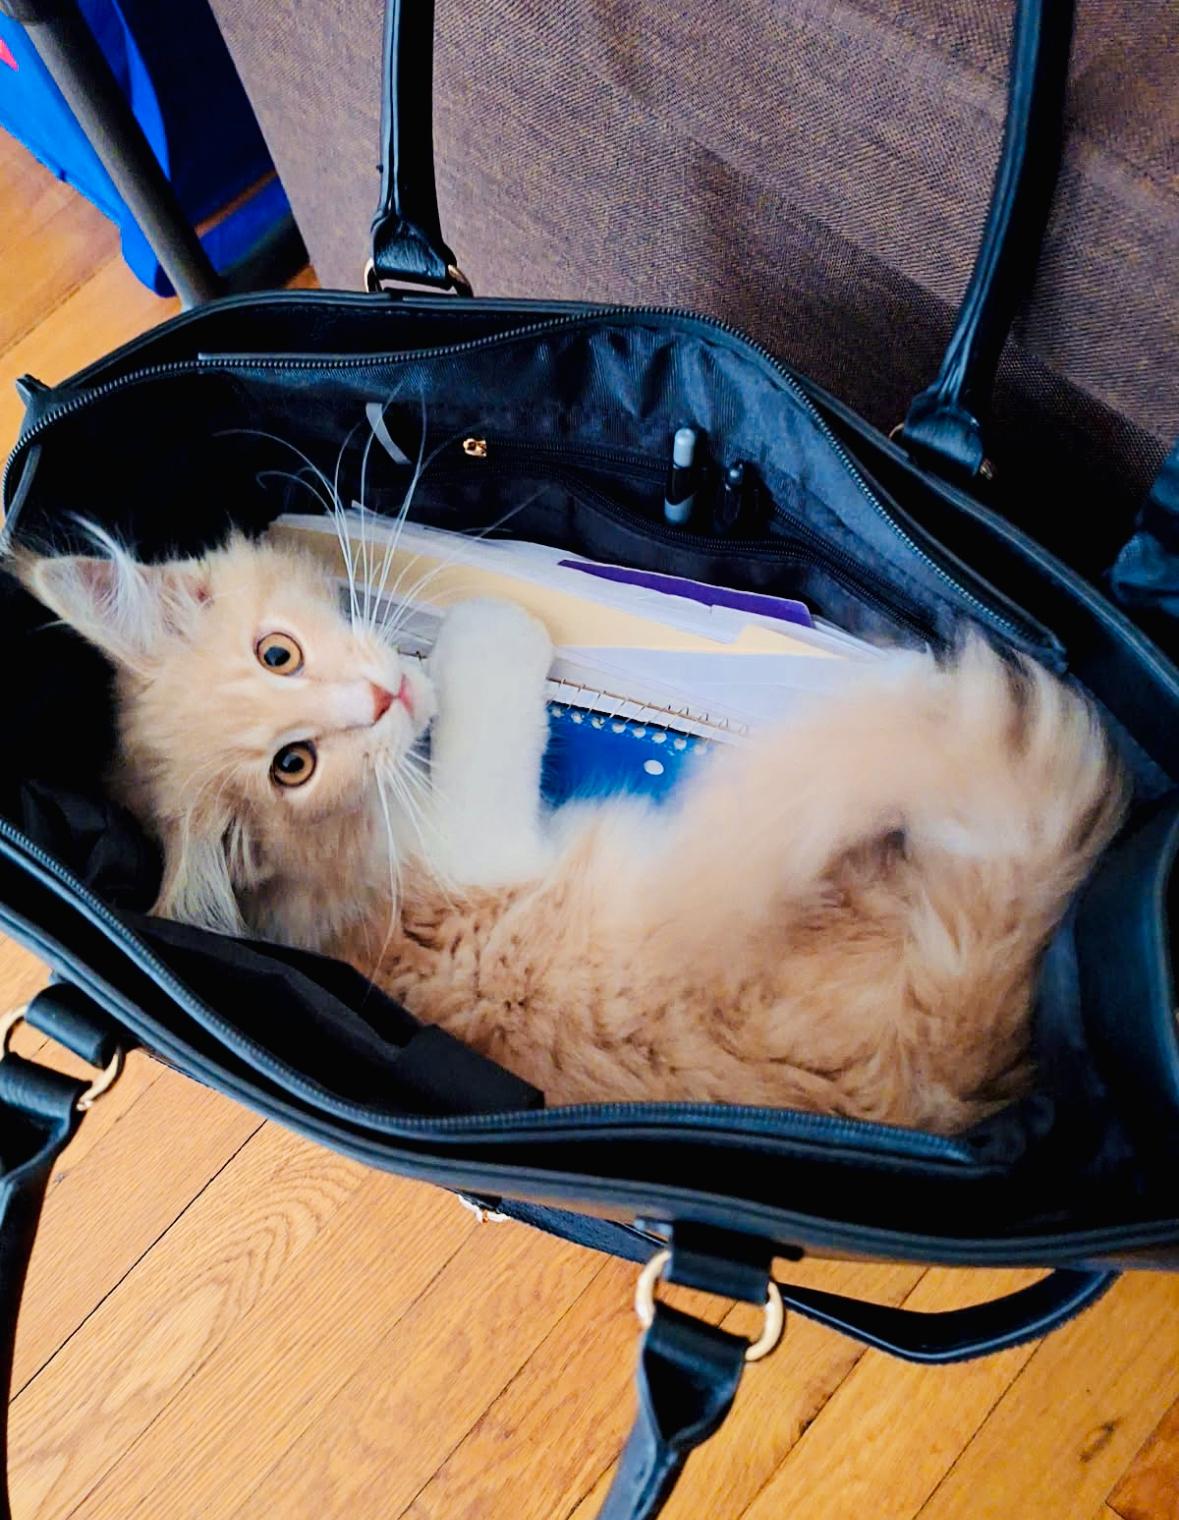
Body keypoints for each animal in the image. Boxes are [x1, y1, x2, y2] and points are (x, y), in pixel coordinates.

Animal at [14, 528, 1127, 1133]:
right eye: (296, 765)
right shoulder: (480, 863)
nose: (379, 697)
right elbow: (493, 691)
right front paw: (490, 628)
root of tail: (942, 1060)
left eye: (276, 653)